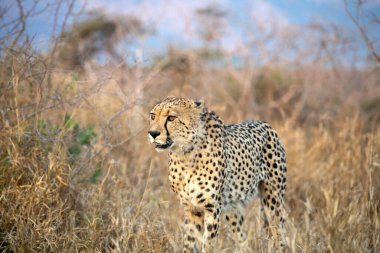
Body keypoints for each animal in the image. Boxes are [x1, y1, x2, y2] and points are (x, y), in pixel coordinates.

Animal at [148, 96, 288, 251]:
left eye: (171, 118)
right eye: (153, 116)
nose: (153, 133)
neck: (185, 155)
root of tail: (264, 123)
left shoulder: (212, 209)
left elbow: (207, 244)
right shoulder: (192, 209)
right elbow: (189, 242)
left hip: (273, 200)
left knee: (279, 234)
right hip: (233, 207)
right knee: (242, 241)